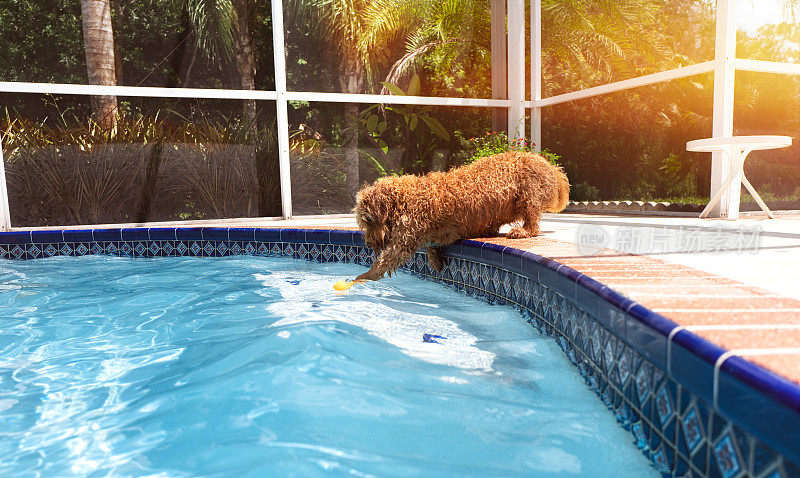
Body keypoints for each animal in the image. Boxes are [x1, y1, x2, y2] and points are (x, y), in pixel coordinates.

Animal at [354, 152, 568, 280]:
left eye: (368, 220)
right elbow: (431, 244)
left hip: (529, 193)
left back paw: (522, 231)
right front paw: (435, 259)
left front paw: (363, 276)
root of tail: (552, 168)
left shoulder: (409, 232)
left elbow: (391, 255)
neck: (405, 198)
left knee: (532, 219)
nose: (368, 244)